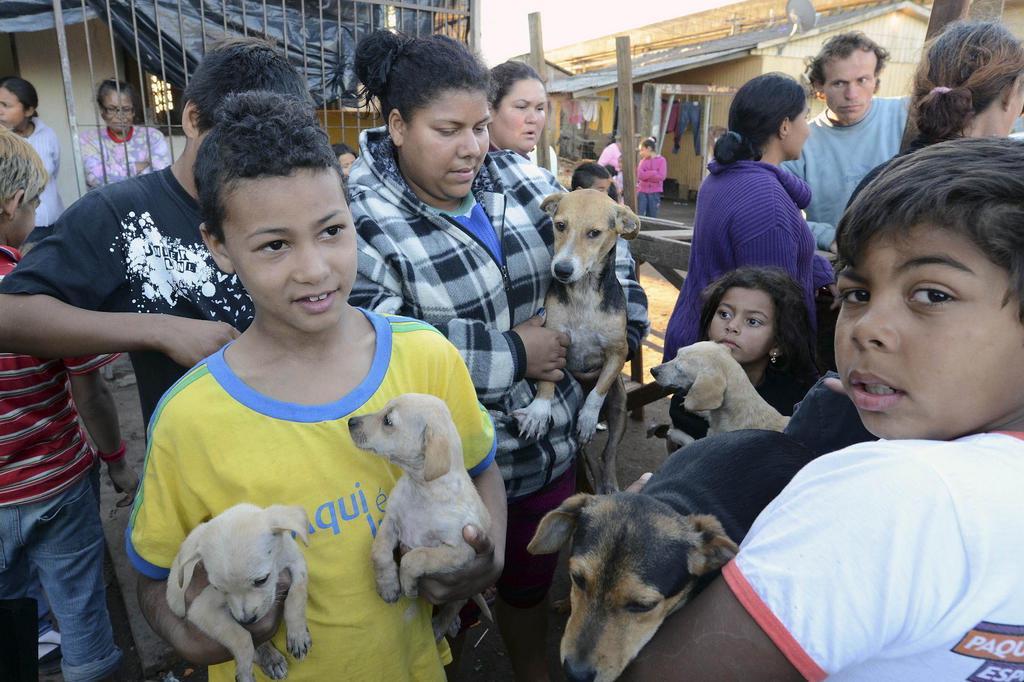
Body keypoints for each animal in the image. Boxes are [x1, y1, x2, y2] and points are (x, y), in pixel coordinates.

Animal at [165, 499, 311, 679]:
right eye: (217, 588)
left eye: (262, 580)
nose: (246, 621)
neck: (279, 562)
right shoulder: (201, 610)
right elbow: (241, 636)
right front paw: (244, 670)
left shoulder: (296, 562)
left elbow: (297, 595)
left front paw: (298, 635)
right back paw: (270, 658)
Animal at [350, 393, 493, 638]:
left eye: (388, 421)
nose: (350, 422)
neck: (423, 490)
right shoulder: (390, 521)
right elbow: (378, 552)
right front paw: (388, 586)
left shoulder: (461, 550)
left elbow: (417, 556)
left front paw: (407, 584)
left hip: (467, 584)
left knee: (456, 603)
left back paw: (442, 625)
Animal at [512, 188, 638, 491]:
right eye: (560, 225)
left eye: (594, 233)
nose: (562, 270)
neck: (583, 293)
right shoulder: (552, 341)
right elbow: (547, 382)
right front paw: (539, 411)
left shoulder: (618, 351)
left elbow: (597, 391)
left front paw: (588, 418)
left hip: (619, 407)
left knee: (608, 453)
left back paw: (608, 483)